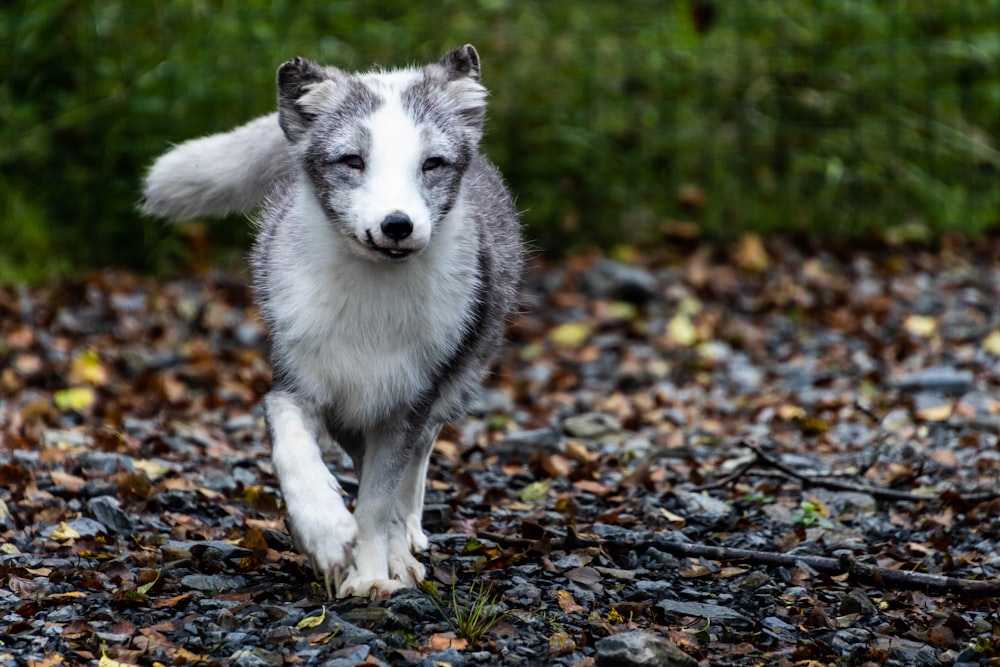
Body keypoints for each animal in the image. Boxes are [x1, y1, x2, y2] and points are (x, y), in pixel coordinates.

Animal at [146, 47, 532, 600]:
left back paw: (405, 549)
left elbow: (376, 503)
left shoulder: (403, 408)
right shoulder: (295, 387)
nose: (397, 225)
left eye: (431, 164)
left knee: (415, 467)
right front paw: (326, 533)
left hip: (452, 384)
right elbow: (294, 454)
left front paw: (371, 573)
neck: (371, 309)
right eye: (353, 160)